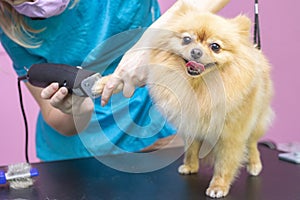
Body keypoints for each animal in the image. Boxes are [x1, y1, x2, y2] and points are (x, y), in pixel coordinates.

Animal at [94, 3, 274, 198]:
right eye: (187, 39)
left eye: (215, 46)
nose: (196, 51)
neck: (198, 85)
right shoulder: (189, 121)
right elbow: (191, 148)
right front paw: (190, 166)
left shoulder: (231, 135)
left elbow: (225, 163)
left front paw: (219, 186)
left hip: (256, 121)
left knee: (253, 143)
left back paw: (254, 164)